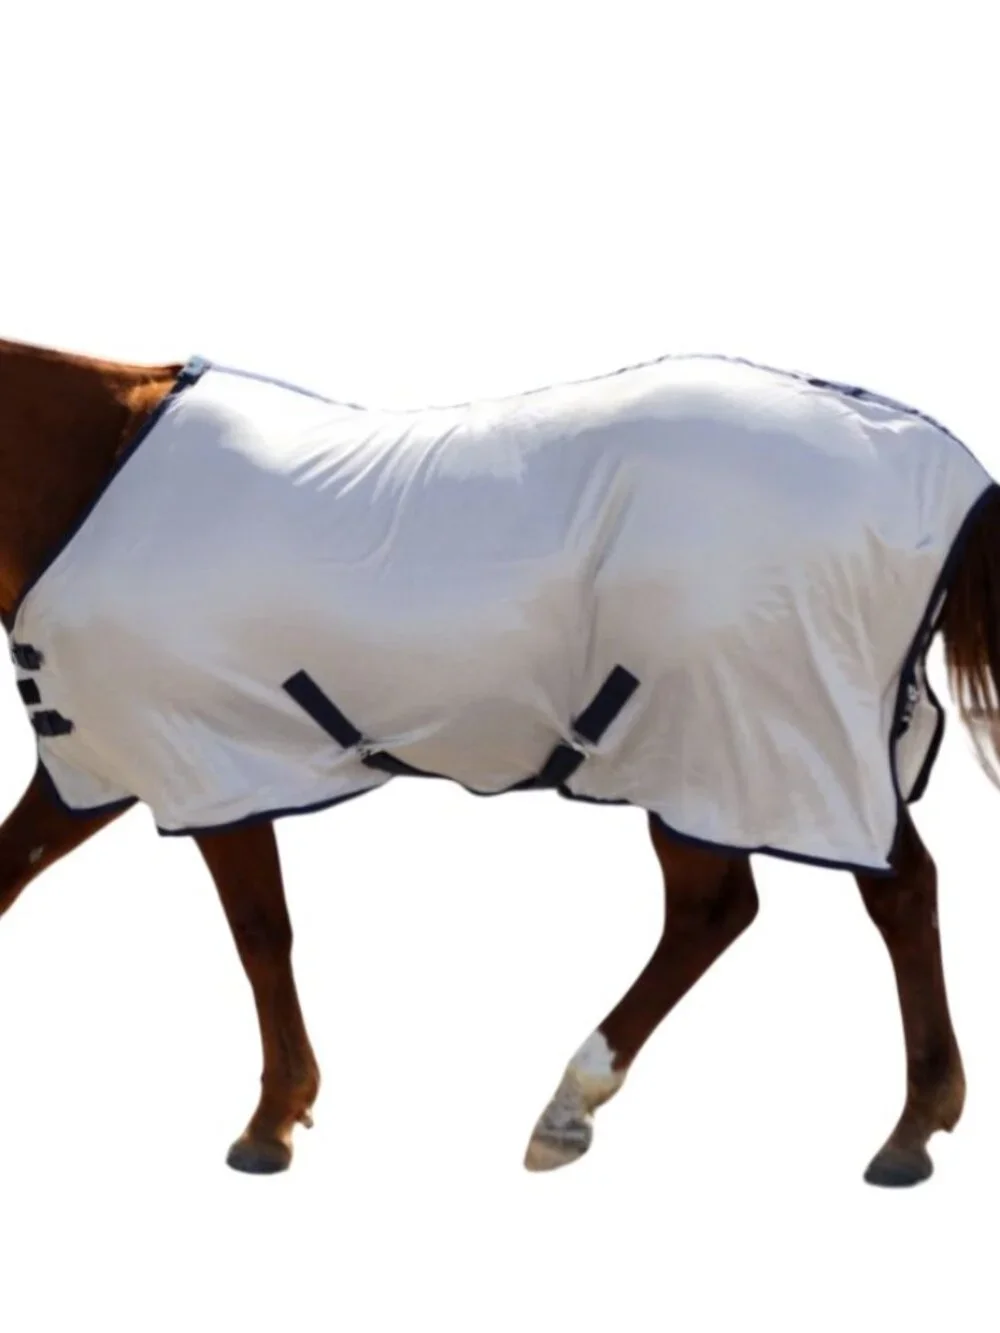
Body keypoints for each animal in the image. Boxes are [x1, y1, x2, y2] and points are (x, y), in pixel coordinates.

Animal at [1, 335, 997, 1189]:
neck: (87, 474)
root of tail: (941, 467)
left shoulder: (207, 764)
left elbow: (260, 935)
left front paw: (270, 1123)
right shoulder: (93, 767)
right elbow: (18, 875)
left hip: (732, 743)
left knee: (785, 901)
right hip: (750, 751)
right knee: (819, 899)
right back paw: (903, 1123)